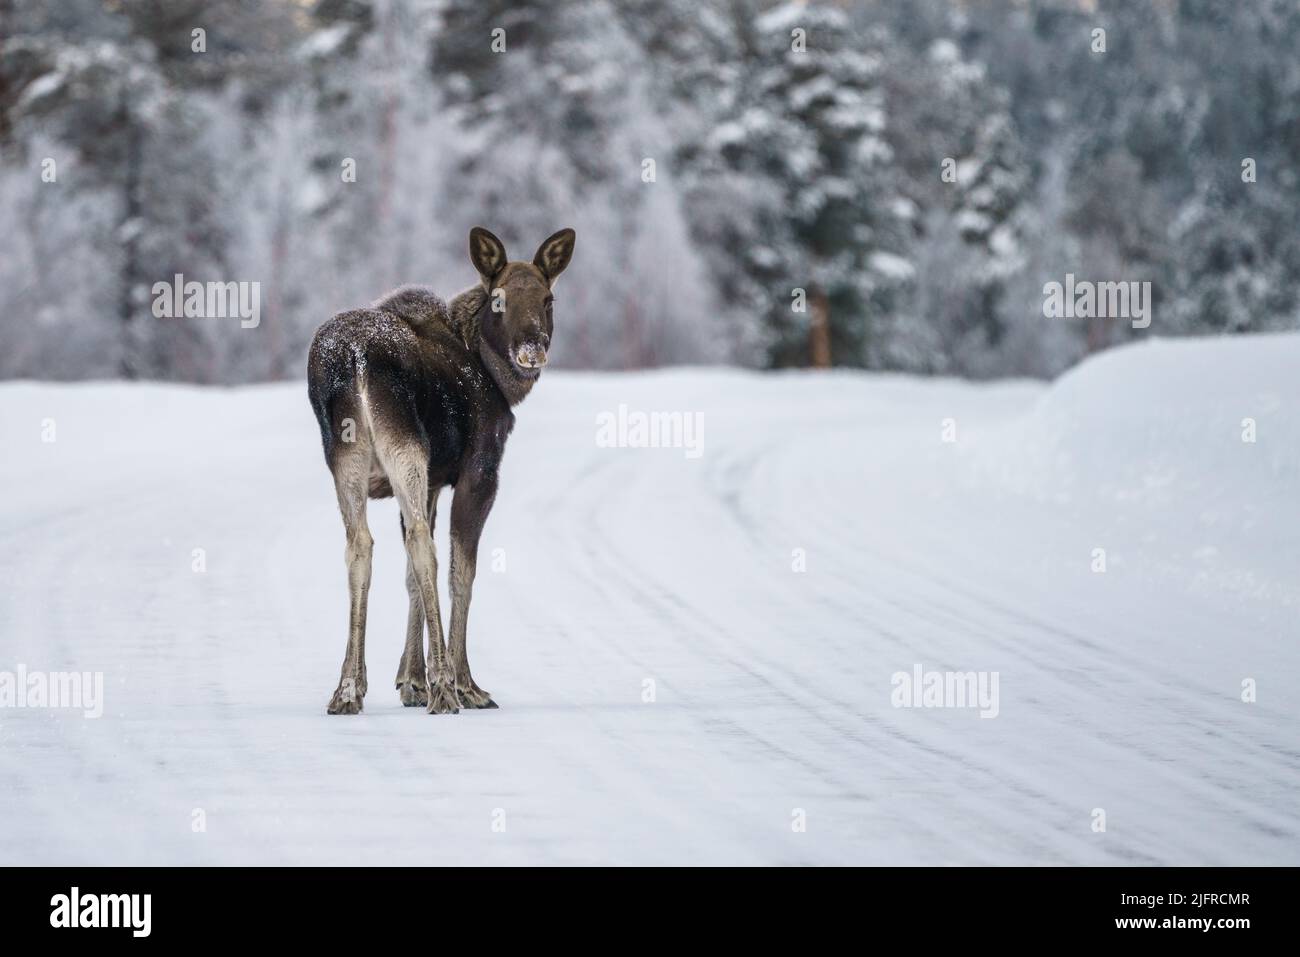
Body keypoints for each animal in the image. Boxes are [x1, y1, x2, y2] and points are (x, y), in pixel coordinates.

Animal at [309, 227, 574, 712]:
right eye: (498, 299)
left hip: (345, 455)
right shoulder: (479, 472)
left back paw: (348, 687)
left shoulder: (432, 480)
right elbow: (460, 572)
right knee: (421, 545)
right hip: (405, 444)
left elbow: (410, 580)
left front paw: (411, 679)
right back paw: (447, 689)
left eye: (549, 298)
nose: (531, 351)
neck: (497, 379)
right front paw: (461, 682)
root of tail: (354, 358)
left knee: (360, 545)